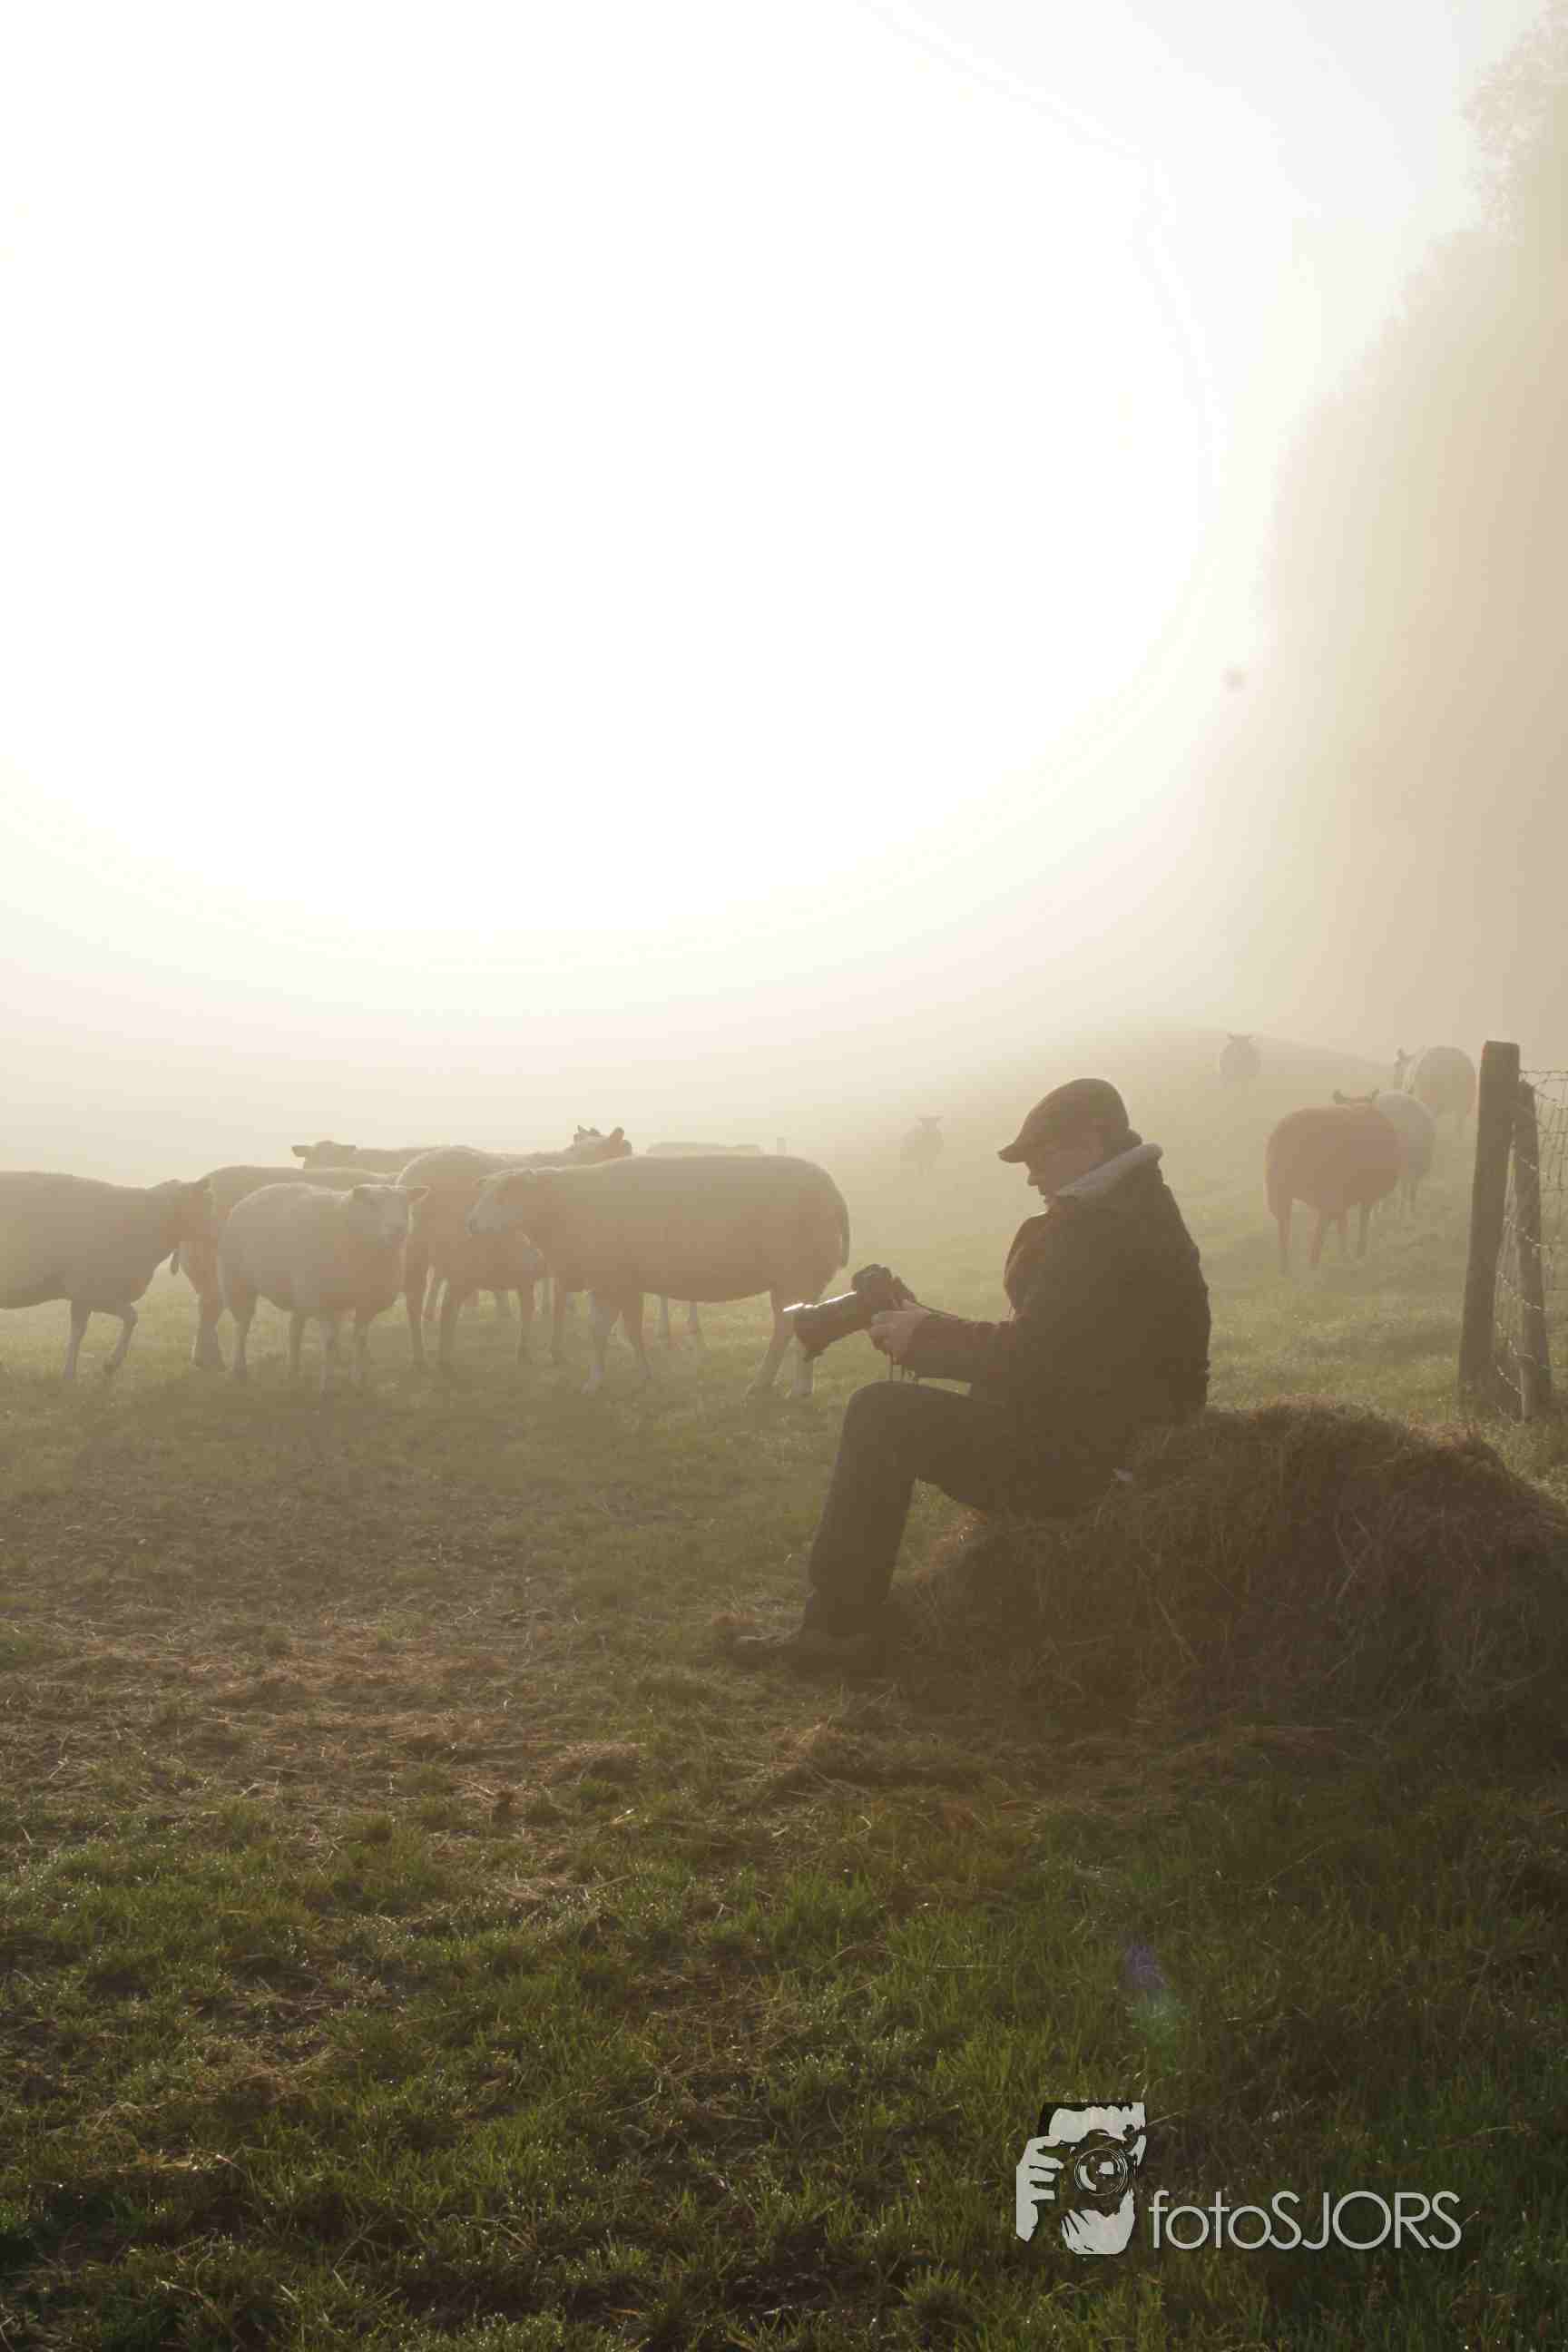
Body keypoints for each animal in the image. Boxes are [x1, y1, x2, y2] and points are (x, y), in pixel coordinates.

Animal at [0, 1171, 214, 1379]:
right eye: (206, 1204)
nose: (216, 1236)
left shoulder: (85, 1296)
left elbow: (82, 1330)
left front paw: (74, 1373)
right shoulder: (91, 1291)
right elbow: (129, 1317)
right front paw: (106, 1365)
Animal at [219, 1181, 430, 1394]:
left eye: (406, 1204)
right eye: (372, 1203)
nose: (398, 1229)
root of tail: (250, 1196)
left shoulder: (367, 1303)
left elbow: (359, 1339)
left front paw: (358, 1381)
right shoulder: (320, 1302)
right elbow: (329, 1340)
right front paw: (326, 1386)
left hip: (299, 1293)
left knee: (294, 1329)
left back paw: (293, 1370)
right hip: (237, 1282)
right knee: (242, 1326)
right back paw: (240, 1370)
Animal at [400, 1129, 631, 1373]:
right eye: (625, 1149)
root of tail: (419, 1172)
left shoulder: (531, 1268)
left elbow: (529, 1306)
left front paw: (526, 1351)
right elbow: (558, 1305)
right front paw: (556, 1350)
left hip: (414, 1251)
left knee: (413, 1302)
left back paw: (420, 1356)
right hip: (462, 1257)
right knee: (448, 1306)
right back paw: (445, 1360)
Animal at [465, 1151, 851, 1398]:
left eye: (506, 1192)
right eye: (483, 1190)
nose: (470, 1224)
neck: (562, 1208)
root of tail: (833, 1191)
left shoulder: (614, 1278)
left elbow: (617, 1330)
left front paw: (623, 1378)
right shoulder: (614, 1280)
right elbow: (609, 1331)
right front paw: (614, 1380)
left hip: (798, 1272)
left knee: (793, 1325)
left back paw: (792, 1388)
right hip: (791, 1279)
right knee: (789, 1326)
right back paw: (772, 1383)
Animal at [1265, 1104, 1403, 1274]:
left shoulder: (1344, 1199)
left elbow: (1343, 1224)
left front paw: (1347, 1255)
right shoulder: (1356, 1195)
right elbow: (1356, 1222)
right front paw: (1356, 1253)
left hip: (1280, 1192)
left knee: (1286, 1225)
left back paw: (1289, 1268)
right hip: (1320, 1191)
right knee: (1320, 1223)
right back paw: (1313, 1263)